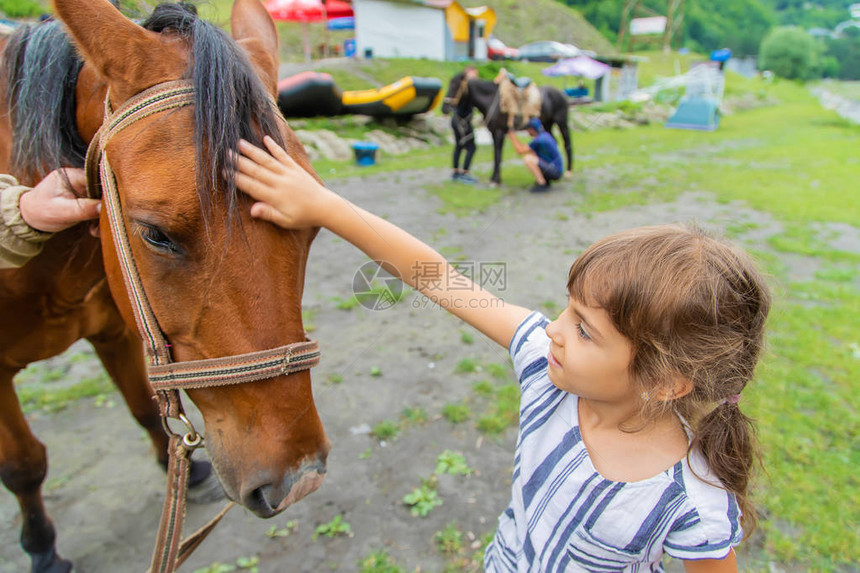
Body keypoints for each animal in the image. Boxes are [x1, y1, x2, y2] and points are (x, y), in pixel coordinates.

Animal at [0, 2, 330, 568]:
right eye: (155, 233)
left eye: (312, 224)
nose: (300, 479)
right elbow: (23, 464)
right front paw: (42, 548)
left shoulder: (116, 332)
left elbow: (142, 410)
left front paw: (186, 474)